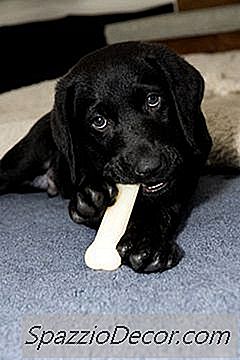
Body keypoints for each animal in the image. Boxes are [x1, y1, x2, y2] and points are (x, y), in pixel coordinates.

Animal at [0, 42, 212, 272]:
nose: (149, 168)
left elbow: (167, 203)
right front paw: (93, 200)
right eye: (99, 121)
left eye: (153, 100)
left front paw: (148, 242)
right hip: (24, 159)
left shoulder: (191, 167)